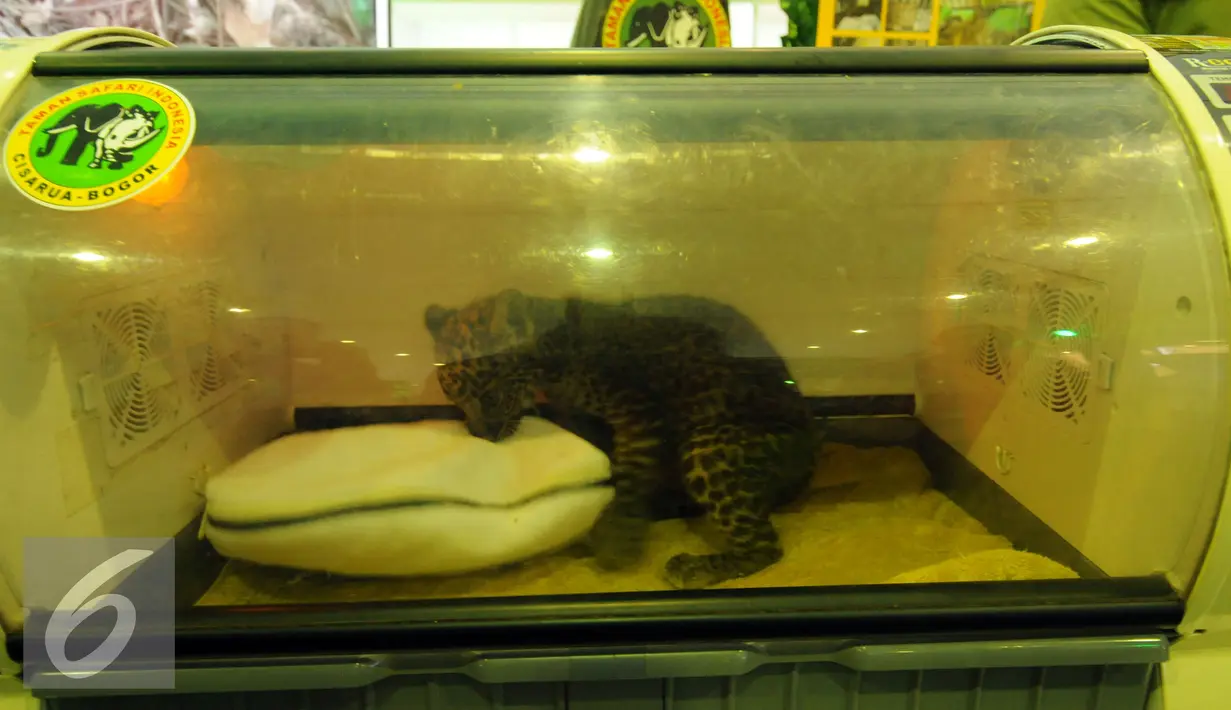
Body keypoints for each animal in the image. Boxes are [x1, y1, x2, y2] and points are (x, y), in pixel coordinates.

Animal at [423, 288, 821, 590]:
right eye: (454, 398)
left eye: (489, 395)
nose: (483, 436)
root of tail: (810, 459)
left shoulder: (637, 411)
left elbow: (630, 474)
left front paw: (617, 539)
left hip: (707, 445)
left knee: (766, 548)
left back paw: (695, 567)